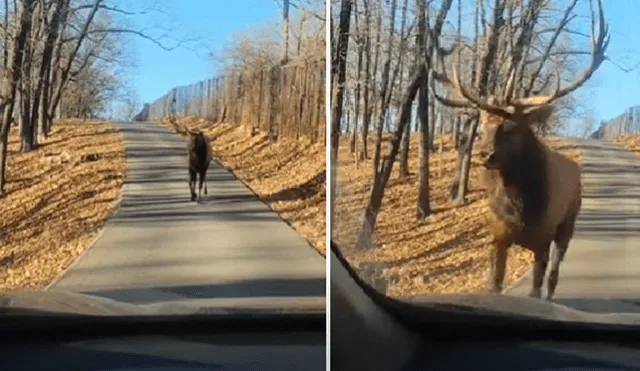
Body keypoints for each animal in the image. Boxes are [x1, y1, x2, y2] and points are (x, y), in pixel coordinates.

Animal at [432, 0, 608, 302]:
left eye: (512, 126)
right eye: (482, 126)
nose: (485, 155)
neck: (520, 210)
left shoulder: (543, 237)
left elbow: (536, 287)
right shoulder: (497, 236)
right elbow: (494, 283)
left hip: (569, 222)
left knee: (554, 273)